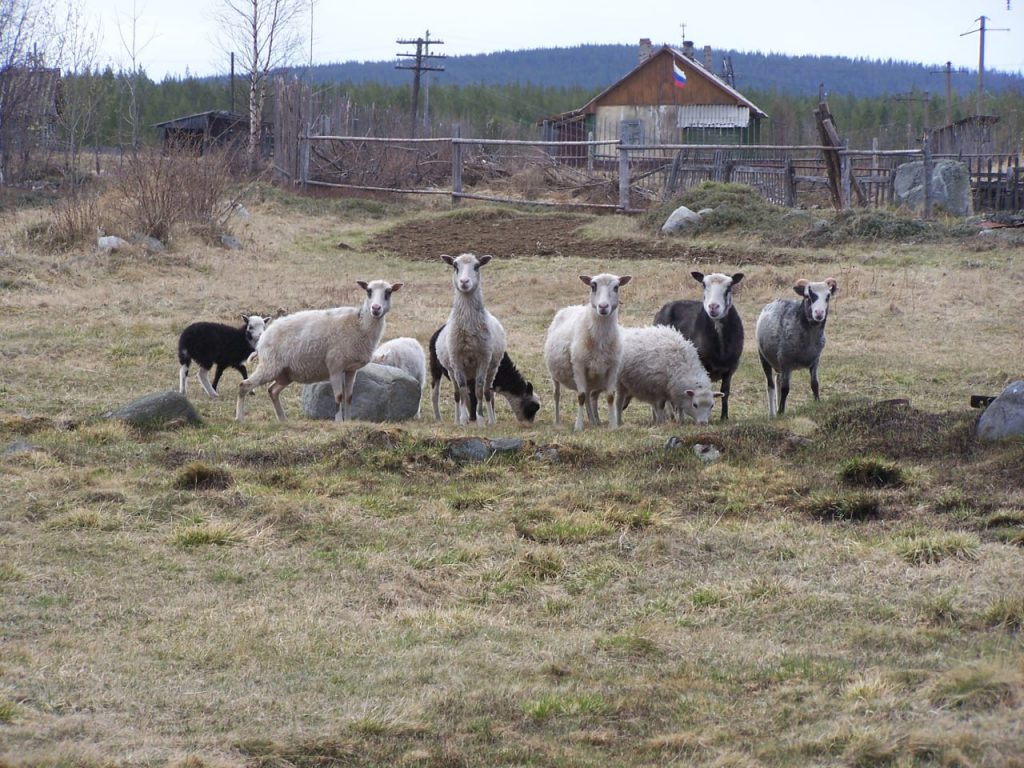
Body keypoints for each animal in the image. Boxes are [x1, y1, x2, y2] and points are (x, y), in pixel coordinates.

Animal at [237, 280, 401, 423]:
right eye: (368, 291)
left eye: (389, 292)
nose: (376, 308)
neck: (360, 324)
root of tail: (263, 337)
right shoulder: (335, 366)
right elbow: (338, 396)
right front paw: (338, 421)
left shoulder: (351, 369)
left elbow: (349, 397)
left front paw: (348, 421)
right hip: (270, 365)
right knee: (244, 385)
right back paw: (239, 419)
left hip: (285, 373)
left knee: (272, 391)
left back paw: (283, 419)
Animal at [436, 253, 507, 428]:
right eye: (455, 266)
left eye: (476, 266)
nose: (464, 282)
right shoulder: (456, 359)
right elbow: (462, 391)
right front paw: (463, 419)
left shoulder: (484, 357)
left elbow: (479, 390)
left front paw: (480, 419)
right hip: (452, 370)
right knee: (457, 394)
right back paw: (458, 418)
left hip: (492, 367)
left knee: (487, 392)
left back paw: (491, 420)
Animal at [544, 272, 630, 434]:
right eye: (593, 286)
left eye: (616, 287)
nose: (603, 307)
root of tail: (570, 307)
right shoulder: (578, 365)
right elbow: (581, 396)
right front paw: (578, 427)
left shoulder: (613, 367)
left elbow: (610, 396)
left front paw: (613, 425)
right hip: (554, 374)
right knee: (557, 395)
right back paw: (557, 421)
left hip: (591, 376)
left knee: (589, 396)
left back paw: (593, 421)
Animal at [655, 272, 745, 421]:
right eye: (703, 285)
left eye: (729, 287)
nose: (713, 307)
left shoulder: (732, 367)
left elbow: (725, 391)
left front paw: (724, 417)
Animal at [753, 278, 839, 417]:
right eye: (808, 296)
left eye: (828, 296)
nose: (819, 313)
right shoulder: (786, 361)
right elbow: (785, 389)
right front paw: (781, 411)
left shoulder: (815, 361)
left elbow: (814, 384)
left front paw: (817, 403)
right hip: (764, 357)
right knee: (770, 385)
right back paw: (773, 413)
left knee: (778, 380)